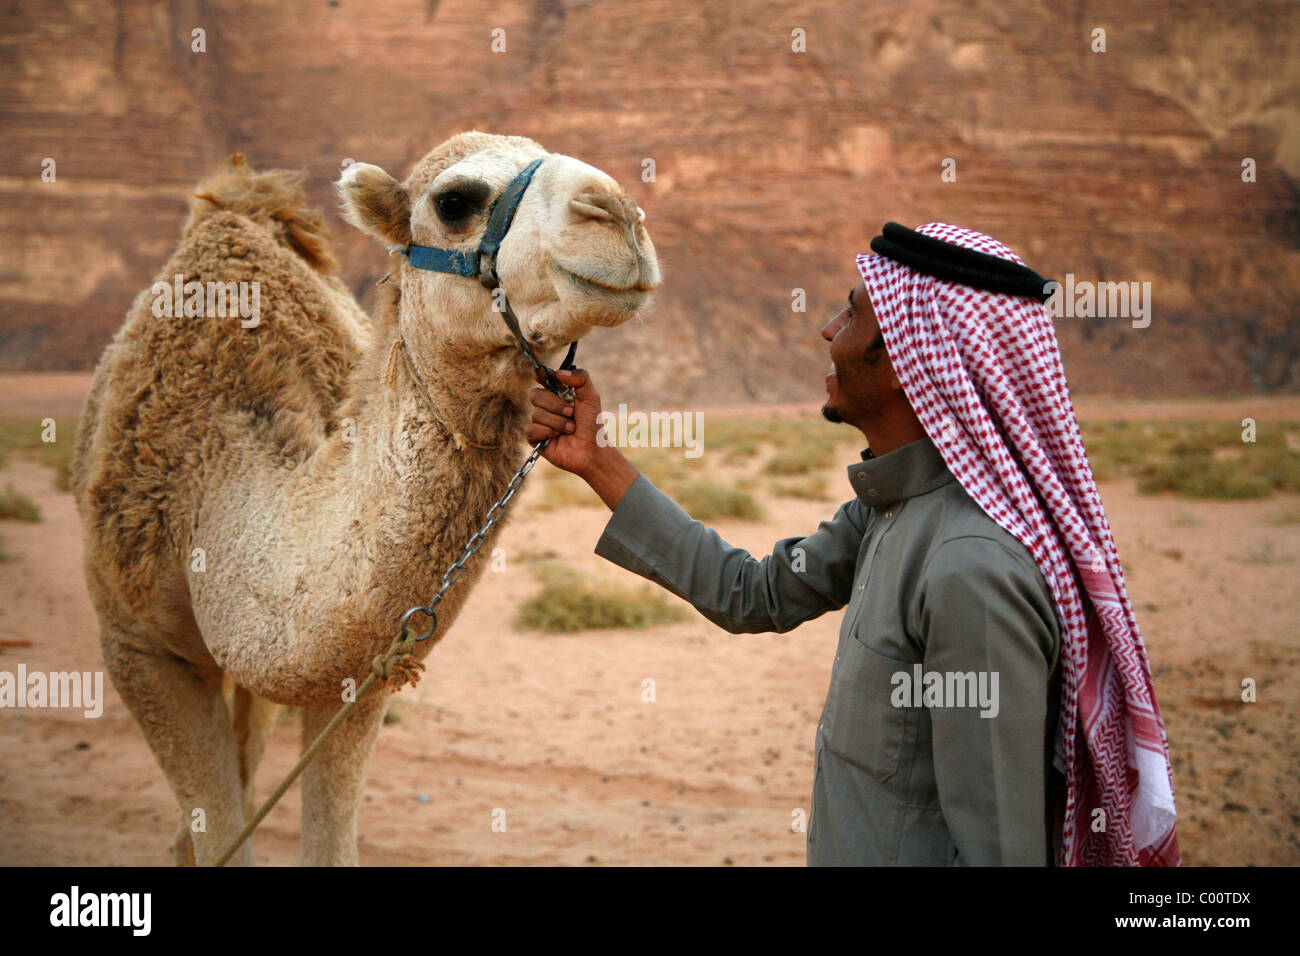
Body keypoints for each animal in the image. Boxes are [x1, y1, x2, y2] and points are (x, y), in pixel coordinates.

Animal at [71, 132, 660, 868]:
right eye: (455, 201)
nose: (619, 213)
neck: (214, 476)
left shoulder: (353, 670)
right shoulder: (135, 648)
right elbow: (222, 835)